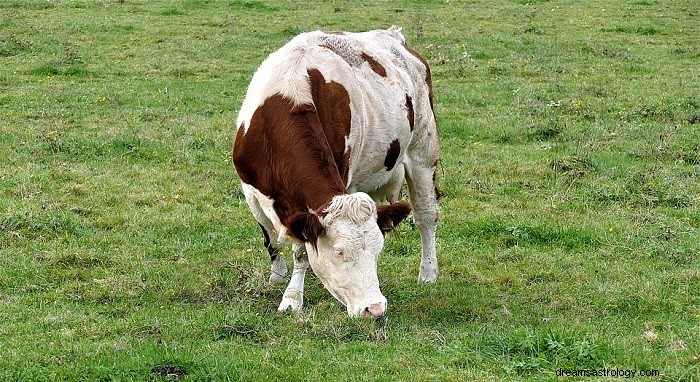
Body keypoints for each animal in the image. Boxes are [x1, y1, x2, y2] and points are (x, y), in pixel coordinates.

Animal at [237, 26, 442, 318]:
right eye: (339, 252)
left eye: (378, 250)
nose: (375, 307)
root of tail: (393, 36)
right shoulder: (251, 191)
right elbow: (271, 239)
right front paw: (277, 276)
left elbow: (301, 250)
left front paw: (292, 298)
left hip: (423, 152)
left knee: (426, 216)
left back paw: (428, 273)